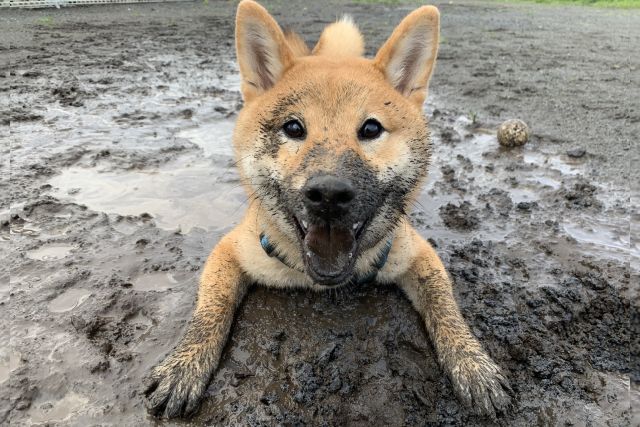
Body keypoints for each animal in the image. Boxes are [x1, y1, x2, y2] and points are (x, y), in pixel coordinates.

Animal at [144, 0, 510, 420]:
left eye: (371, 129)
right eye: (293, 128)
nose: (329, 194)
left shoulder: (417, 253)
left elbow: (446, 309)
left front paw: (473, 364)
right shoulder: (232, 249)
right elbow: (208, 312)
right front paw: (183, 365)